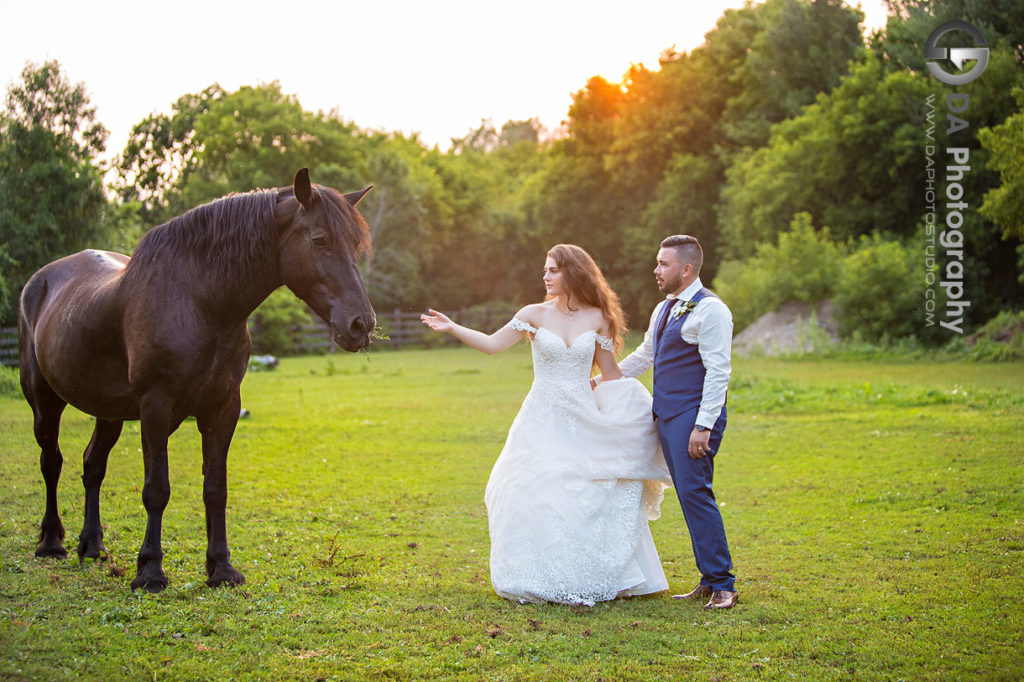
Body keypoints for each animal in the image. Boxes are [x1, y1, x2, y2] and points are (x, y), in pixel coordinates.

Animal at [17, 168, 375, 592]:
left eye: (354, 245)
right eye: (319, 241)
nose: (361, 324)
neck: (199, 302)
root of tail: (39, 281)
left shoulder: (223, 408)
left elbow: (215, 489)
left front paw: (221, 568)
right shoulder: (156, 407)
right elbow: (156, 490)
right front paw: (150, 571)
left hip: (109, 412)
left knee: (92, 466)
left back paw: (92, 546)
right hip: (44, 401)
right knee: (51, 463)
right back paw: (51, 542)